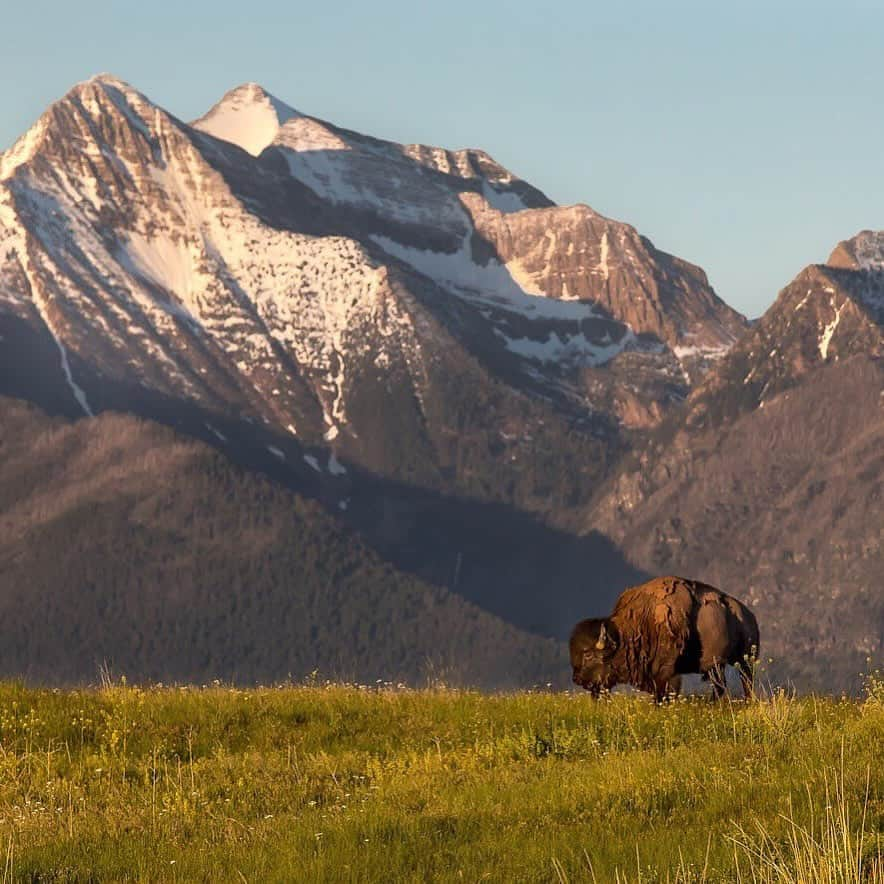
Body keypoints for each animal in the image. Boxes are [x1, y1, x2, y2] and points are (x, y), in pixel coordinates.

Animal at [572, 576, 760, 700]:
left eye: (588, 654)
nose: (577, 679)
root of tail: (748, 615)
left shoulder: (666, 672)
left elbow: (665, 692)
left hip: (744, 662)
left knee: (746, 681)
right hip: (717, 665)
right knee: (720, 684)